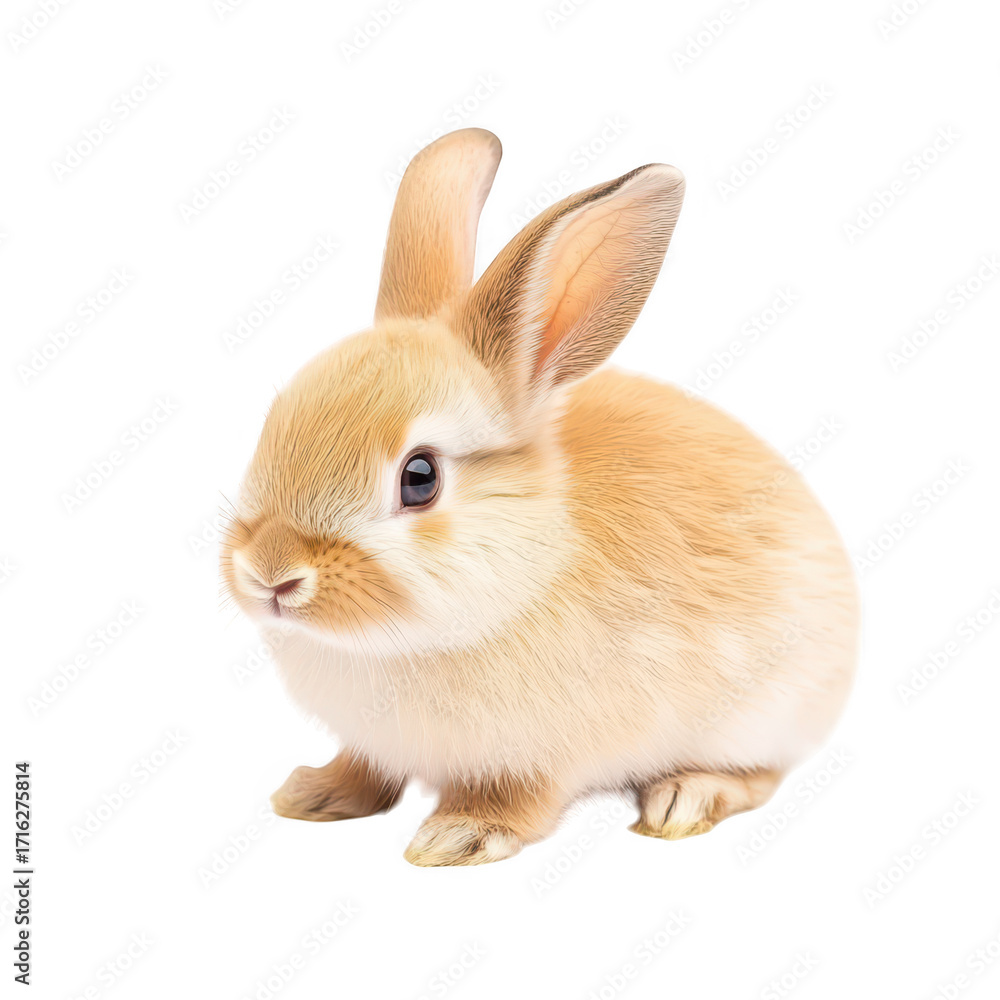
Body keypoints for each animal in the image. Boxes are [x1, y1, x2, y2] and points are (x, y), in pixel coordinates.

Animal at [220, 127, 858, 867]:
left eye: (420, 477)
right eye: (274, 422)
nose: (270, 574)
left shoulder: (549, 756)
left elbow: (520, 800)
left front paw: (457, 836)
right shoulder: (373, 744)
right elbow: (365, 768)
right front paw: (314, 795)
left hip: (765, 711)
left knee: (761, 773)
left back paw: (685, 798)